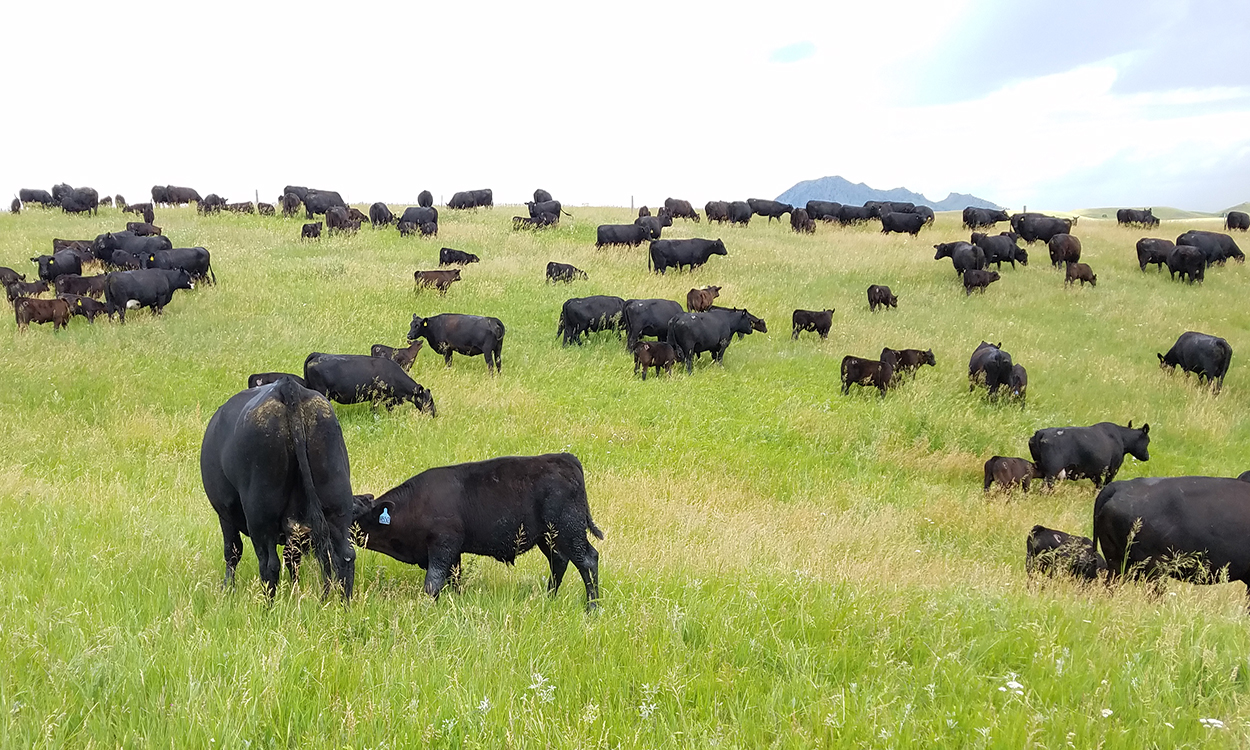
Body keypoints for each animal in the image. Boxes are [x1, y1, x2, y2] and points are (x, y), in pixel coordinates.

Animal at [200, 380, 357, 597]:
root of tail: (287, 386)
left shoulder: (225, 512)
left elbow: (232, 551)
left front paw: (227, 589)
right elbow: (293, 559)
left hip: (260, 516)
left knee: (268, 564)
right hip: (337, 504)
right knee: (345, 556)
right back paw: (343, 603)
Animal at [350, 455, 602, 607]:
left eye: (355, 514)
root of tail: (563, 458)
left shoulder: (443, 545)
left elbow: (433, 582)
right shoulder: (453, 553)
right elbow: (454, 579)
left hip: (569, 530)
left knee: (588, 560)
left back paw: (592, 606)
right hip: (549, 537)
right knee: (559, 561)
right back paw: (549, 598)